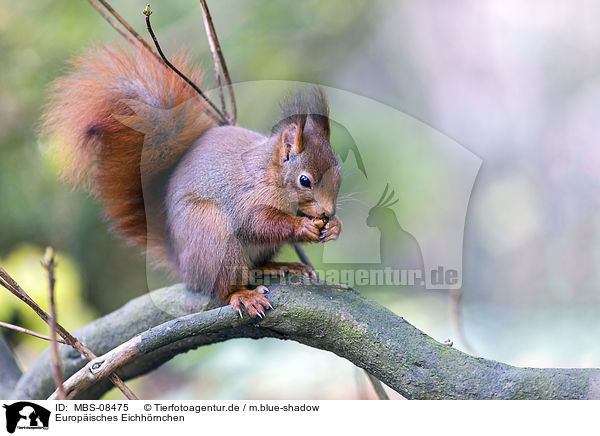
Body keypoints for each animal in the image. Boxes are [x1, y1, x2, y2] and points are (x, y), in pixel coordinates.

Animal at [42, 43, 342, 316]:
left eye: (339, 176)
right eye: (305, 181)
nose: (328, 212)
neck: (270, 173)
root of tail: (183, 264)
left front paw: (334, 227)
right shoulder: (245, 195)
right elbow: (257, 223)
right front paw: (301, 226)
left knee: (255, 267)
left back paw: (279, 266)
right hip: (212, 236)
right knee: (223, 287)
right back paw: (243, 295)